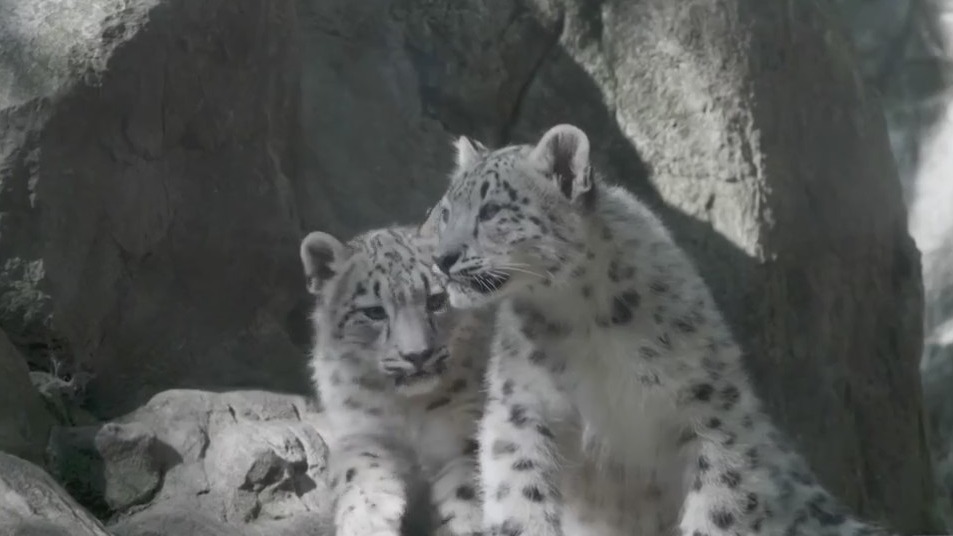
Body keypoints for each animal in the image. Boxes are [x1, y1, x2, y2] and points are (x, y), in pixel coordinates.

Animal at [300, 225, 493, 536]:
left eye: (436, 300)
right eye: (374, 311)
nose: (418, 355)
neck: (409, 409)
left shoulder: (467, 431)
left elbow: (466, 488)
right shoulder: (362, 430)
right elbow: (358, 468)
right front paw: (366, 519)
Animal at [419, 124, 894, 536]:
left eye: (491, 210)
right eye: (445, 211)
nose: (443, 258)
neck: (582, 316)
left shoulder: (710, 407)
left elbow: (721, 500)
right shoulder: (523, 403)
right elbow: (517, 483)